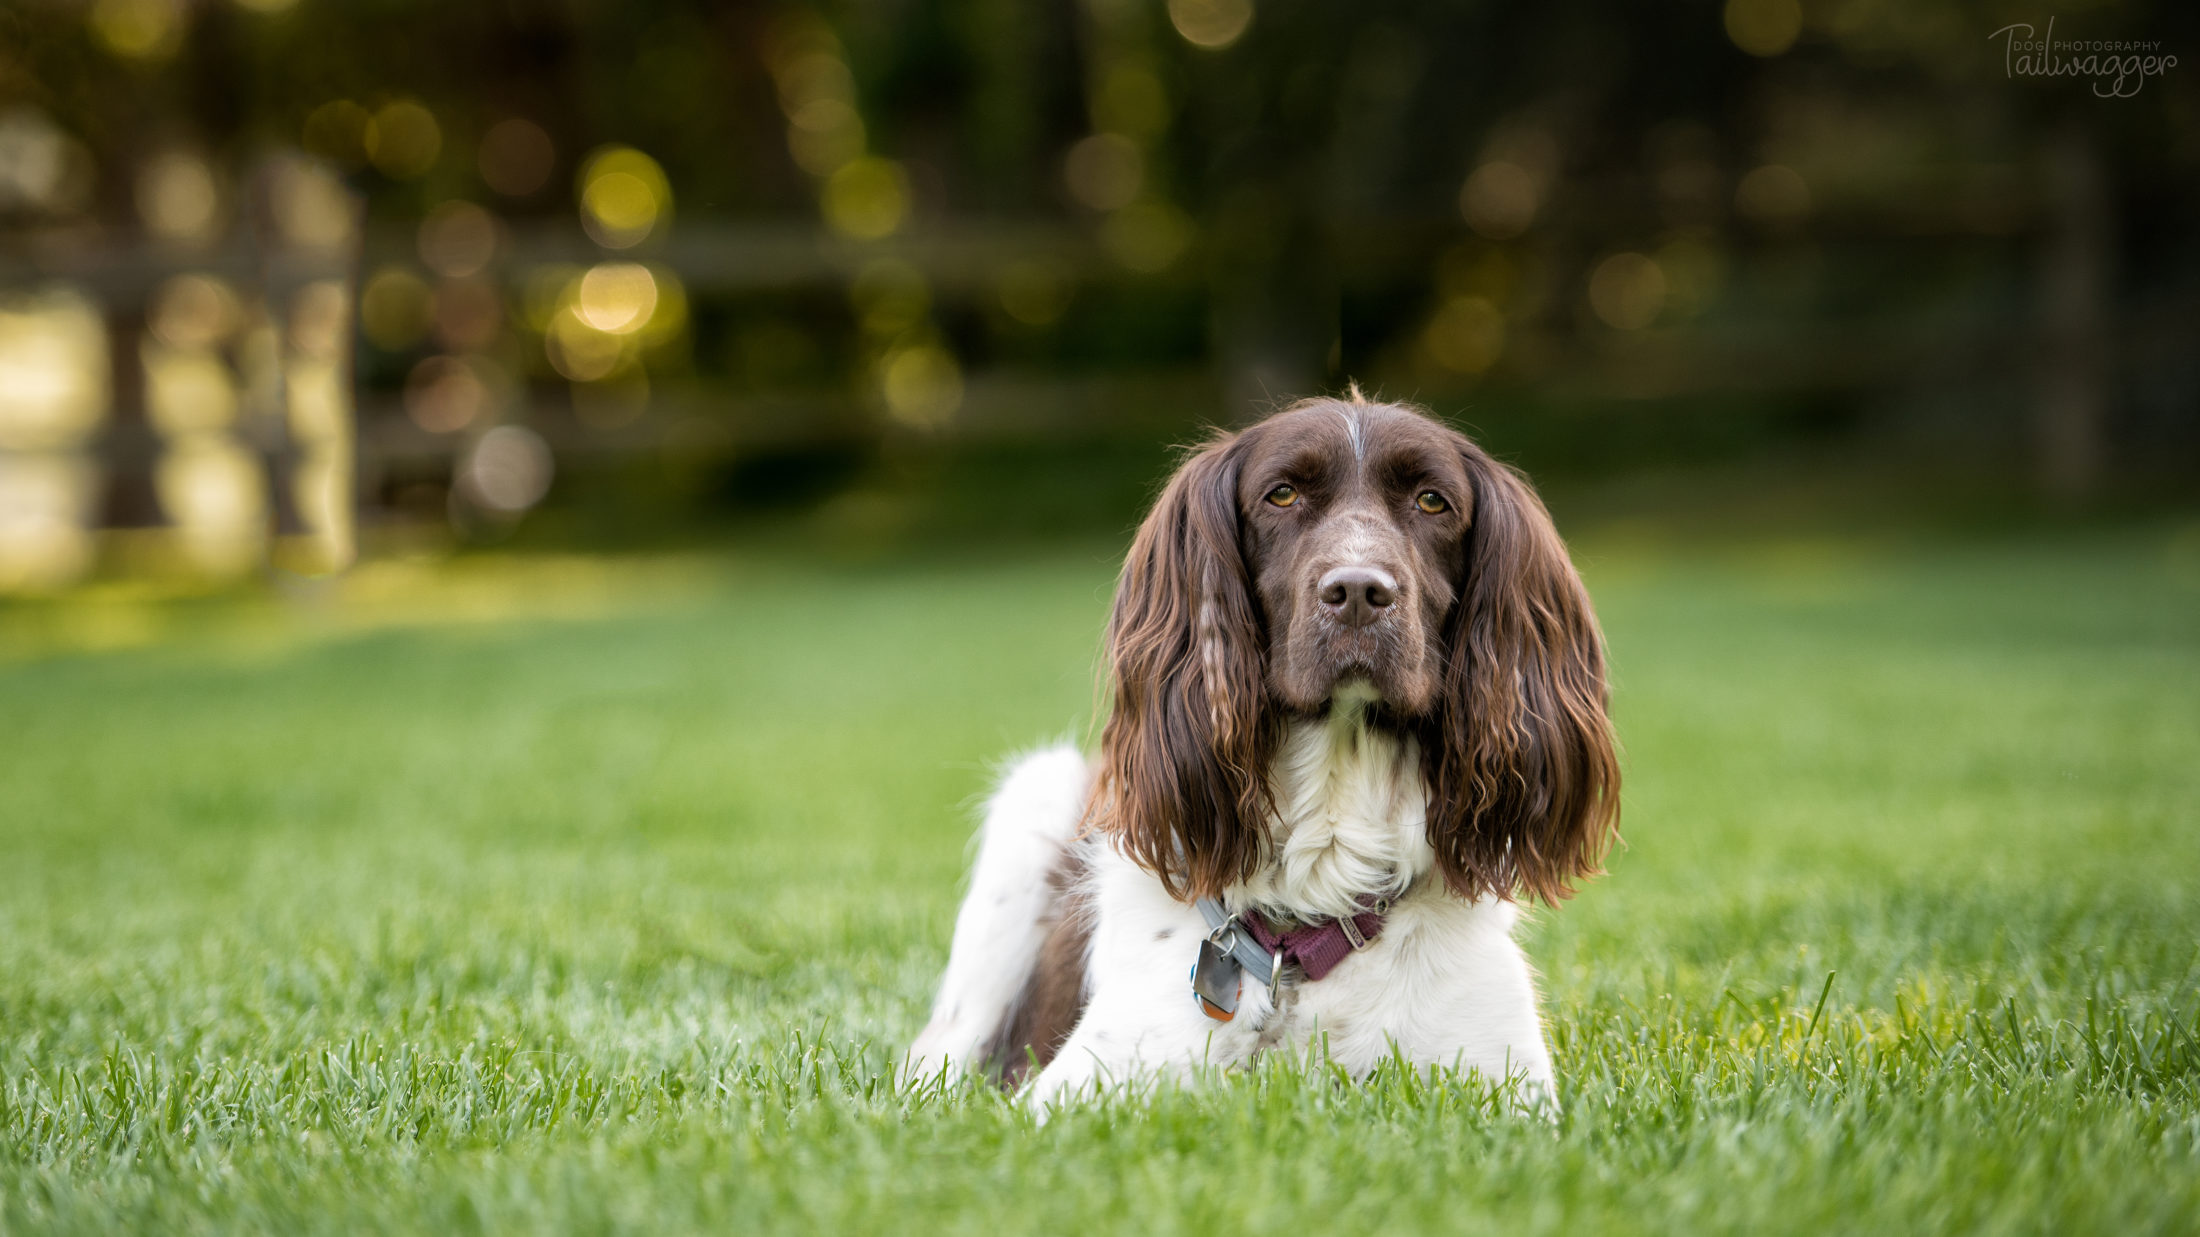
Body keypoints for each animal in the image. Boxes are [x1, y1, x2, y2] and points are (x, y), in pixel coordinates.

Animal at [906, 389, 1619, 1100]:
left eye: (1432, 501)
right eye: (1281, 495)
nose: (1358, 592)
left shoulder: (1506, 1087)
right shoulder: (1084, 1087)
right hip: (1033, 801)